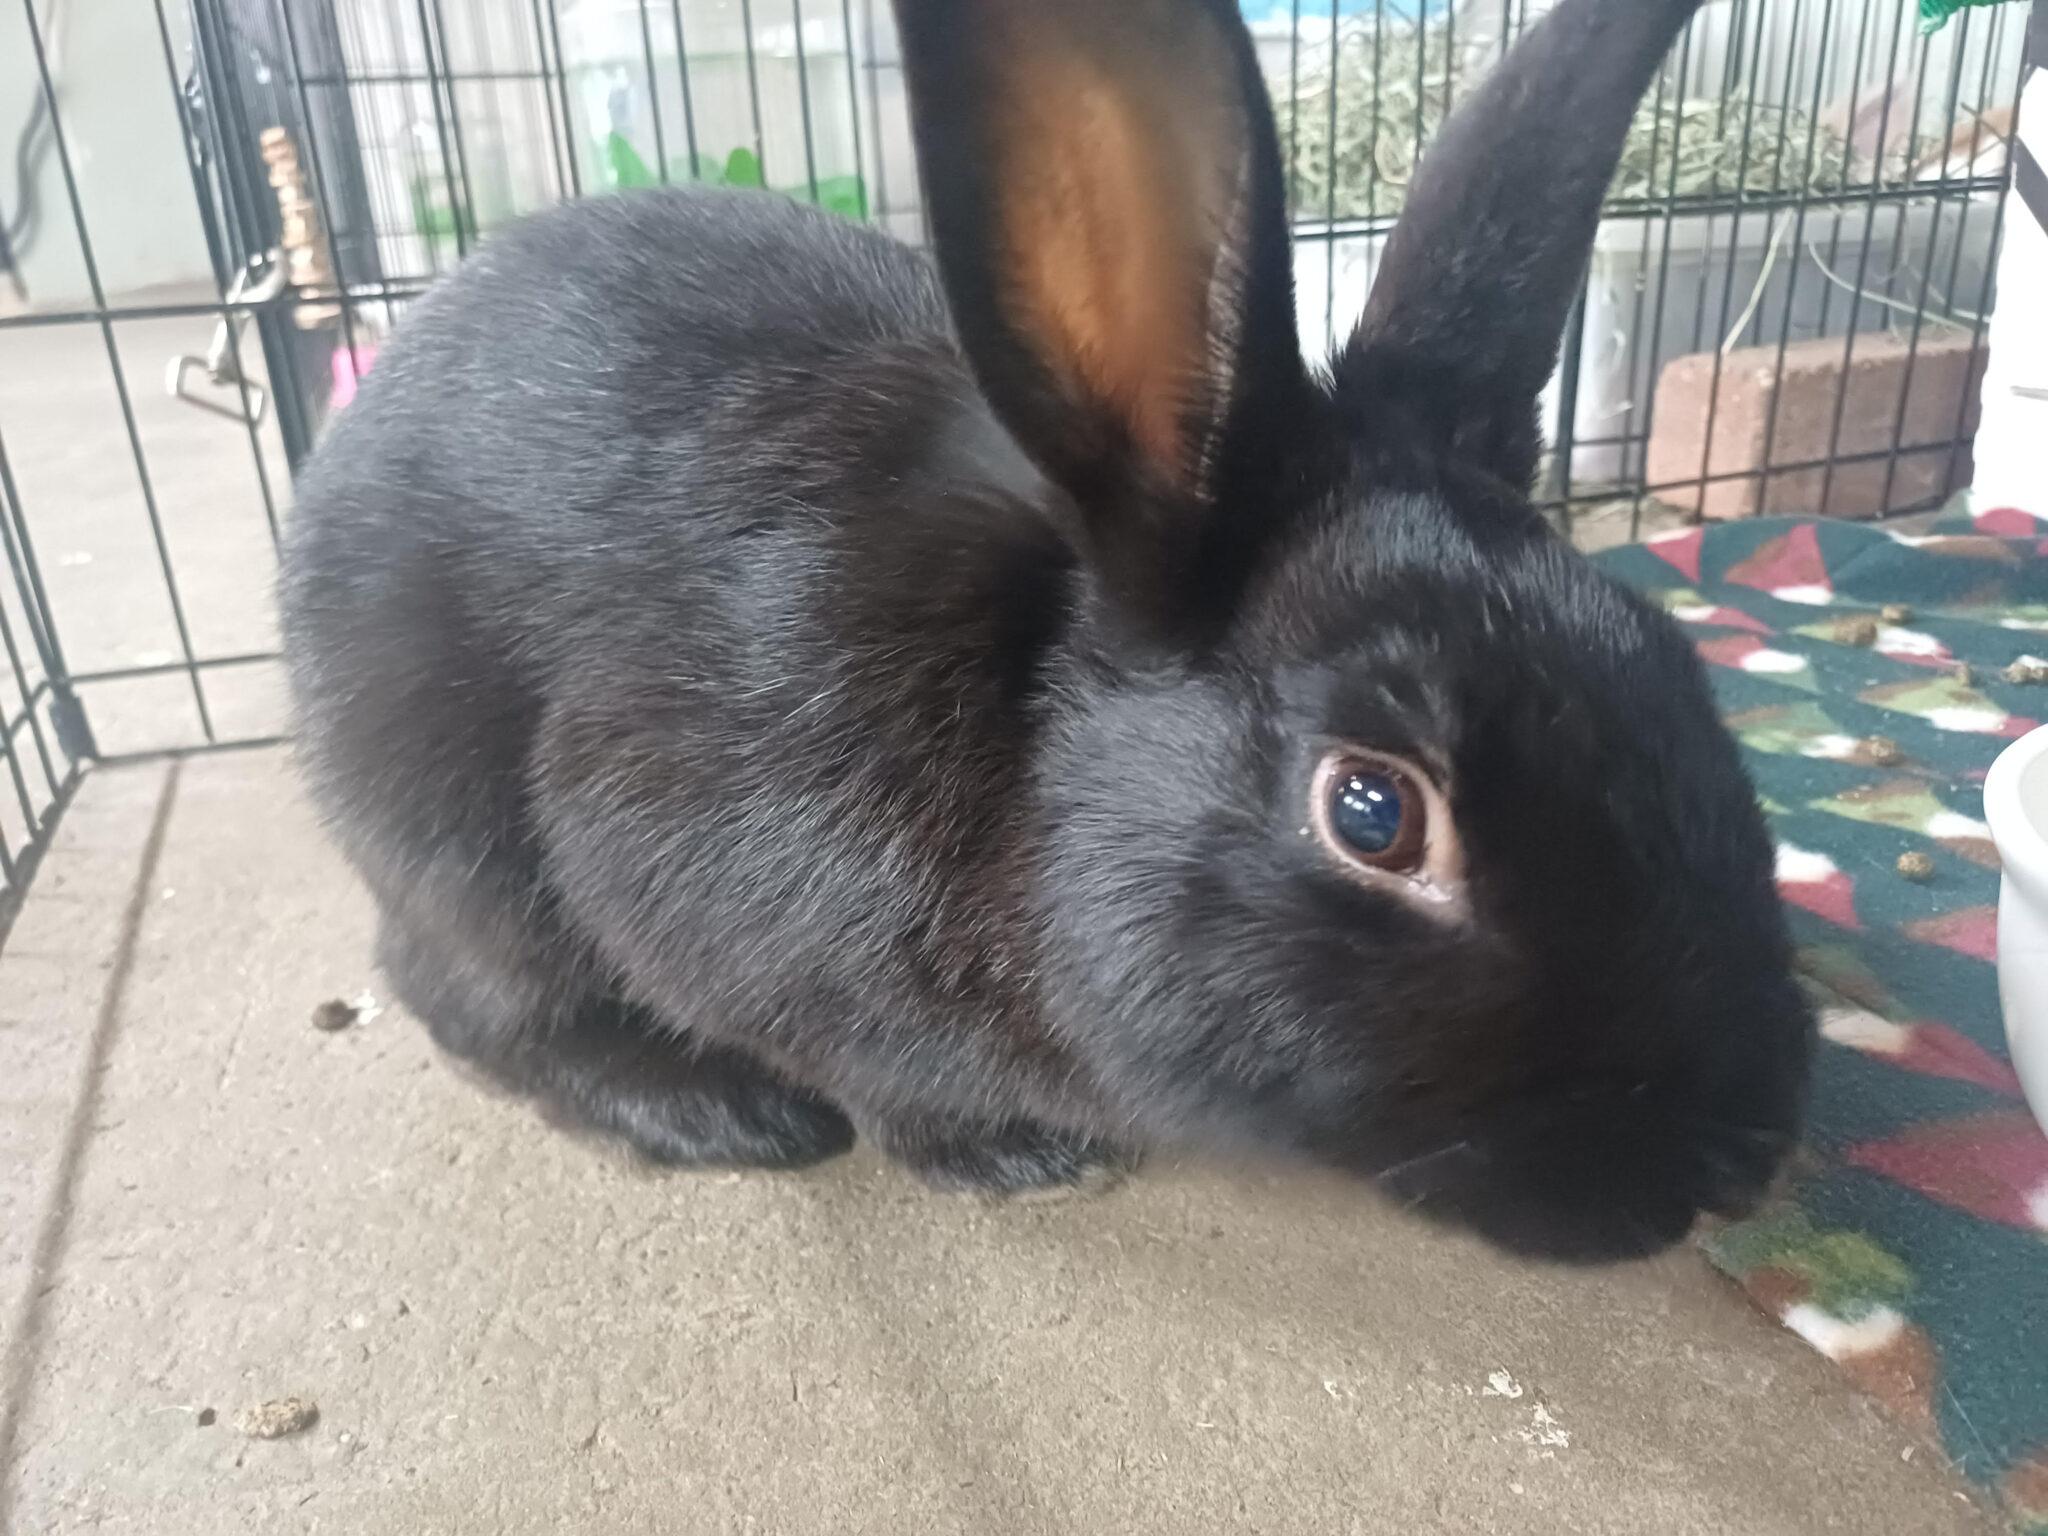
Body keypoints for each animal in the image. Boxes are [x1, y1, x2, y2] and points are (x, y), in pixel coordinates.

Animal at [280, 0, 1814, 1264]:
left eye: (1672, 659)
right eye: (1372, 813)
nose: (1737, 1161)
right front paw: (1012, 1156)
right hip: (453, 834)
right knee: (473, 996)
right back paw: (713, 1112)